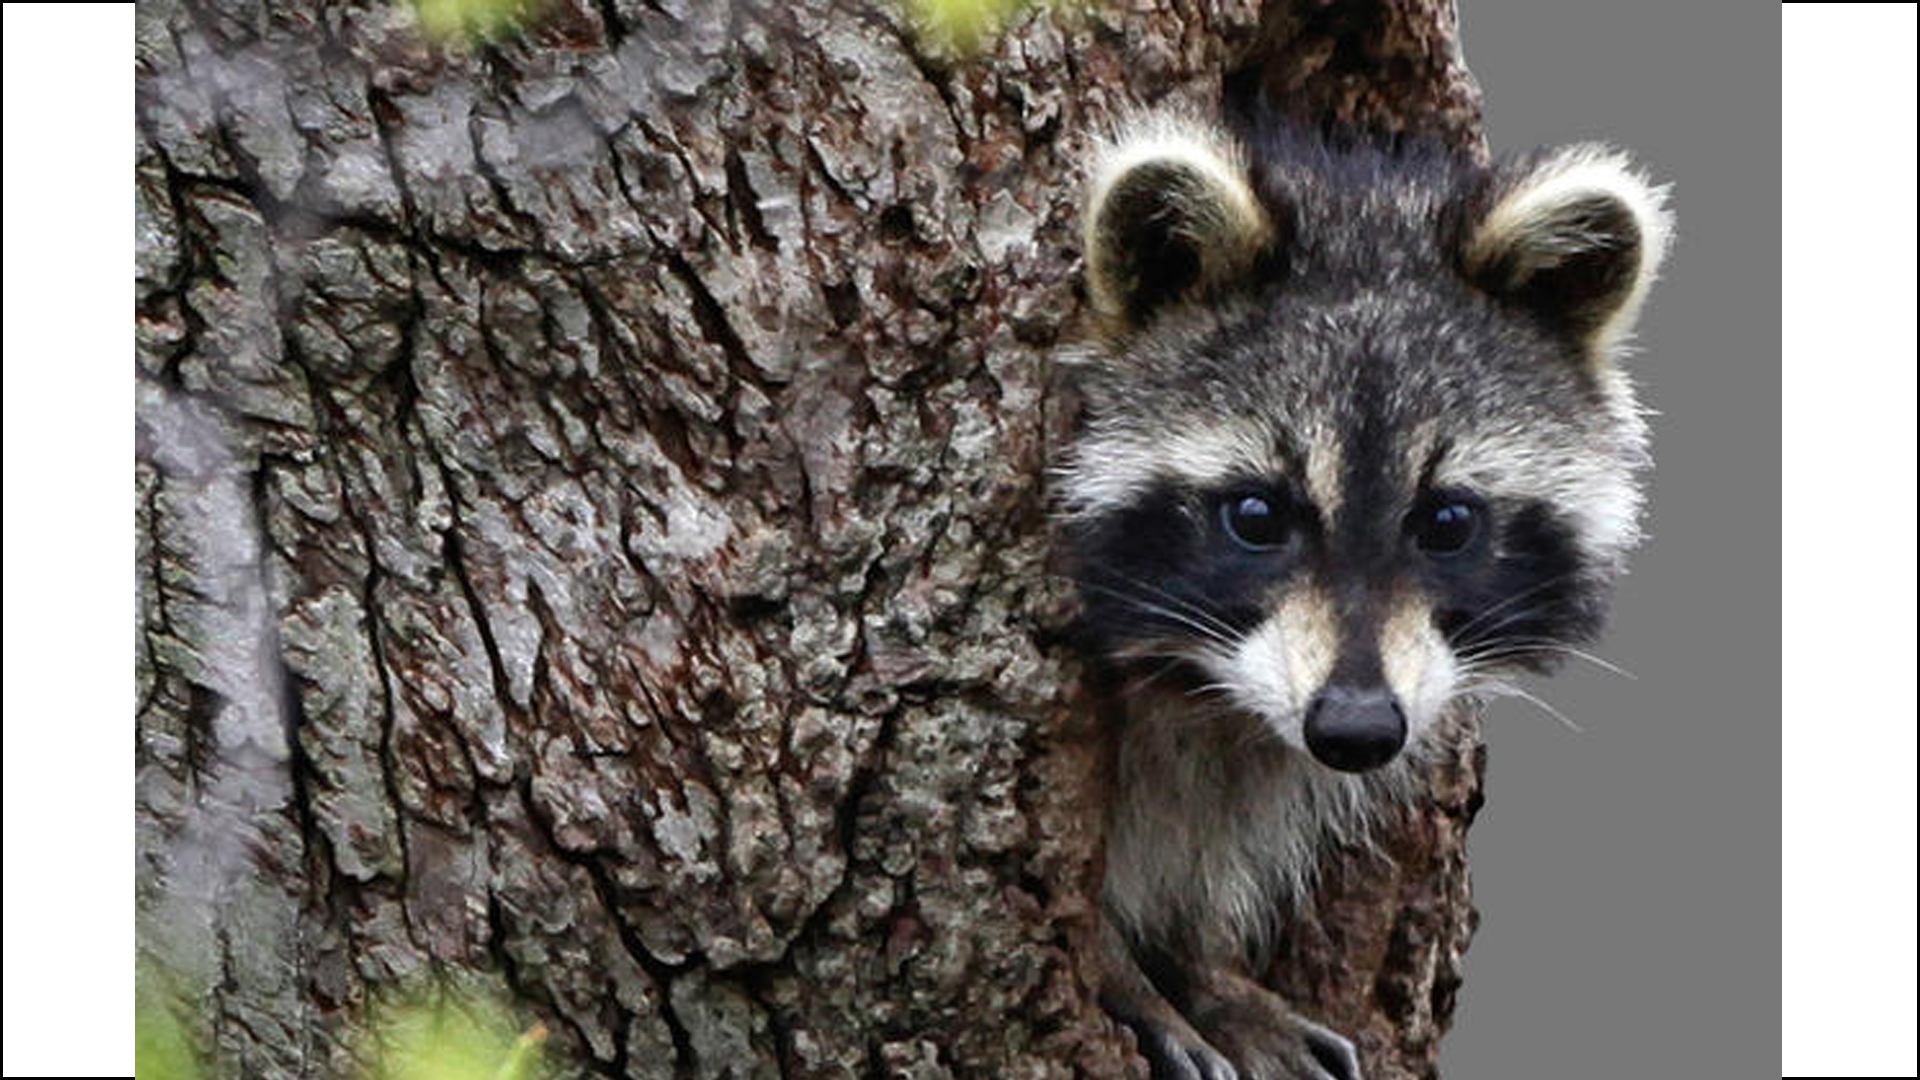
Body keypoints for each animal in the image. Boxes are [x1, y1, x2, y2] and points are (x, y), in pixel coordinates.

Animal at [1059, 111, 1674, 1076]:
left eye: (1448, 521)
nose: (1355, 728)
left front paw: (1203, 960)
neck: (1204, 689)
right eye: (1256, 515)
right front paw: (1120, 965)